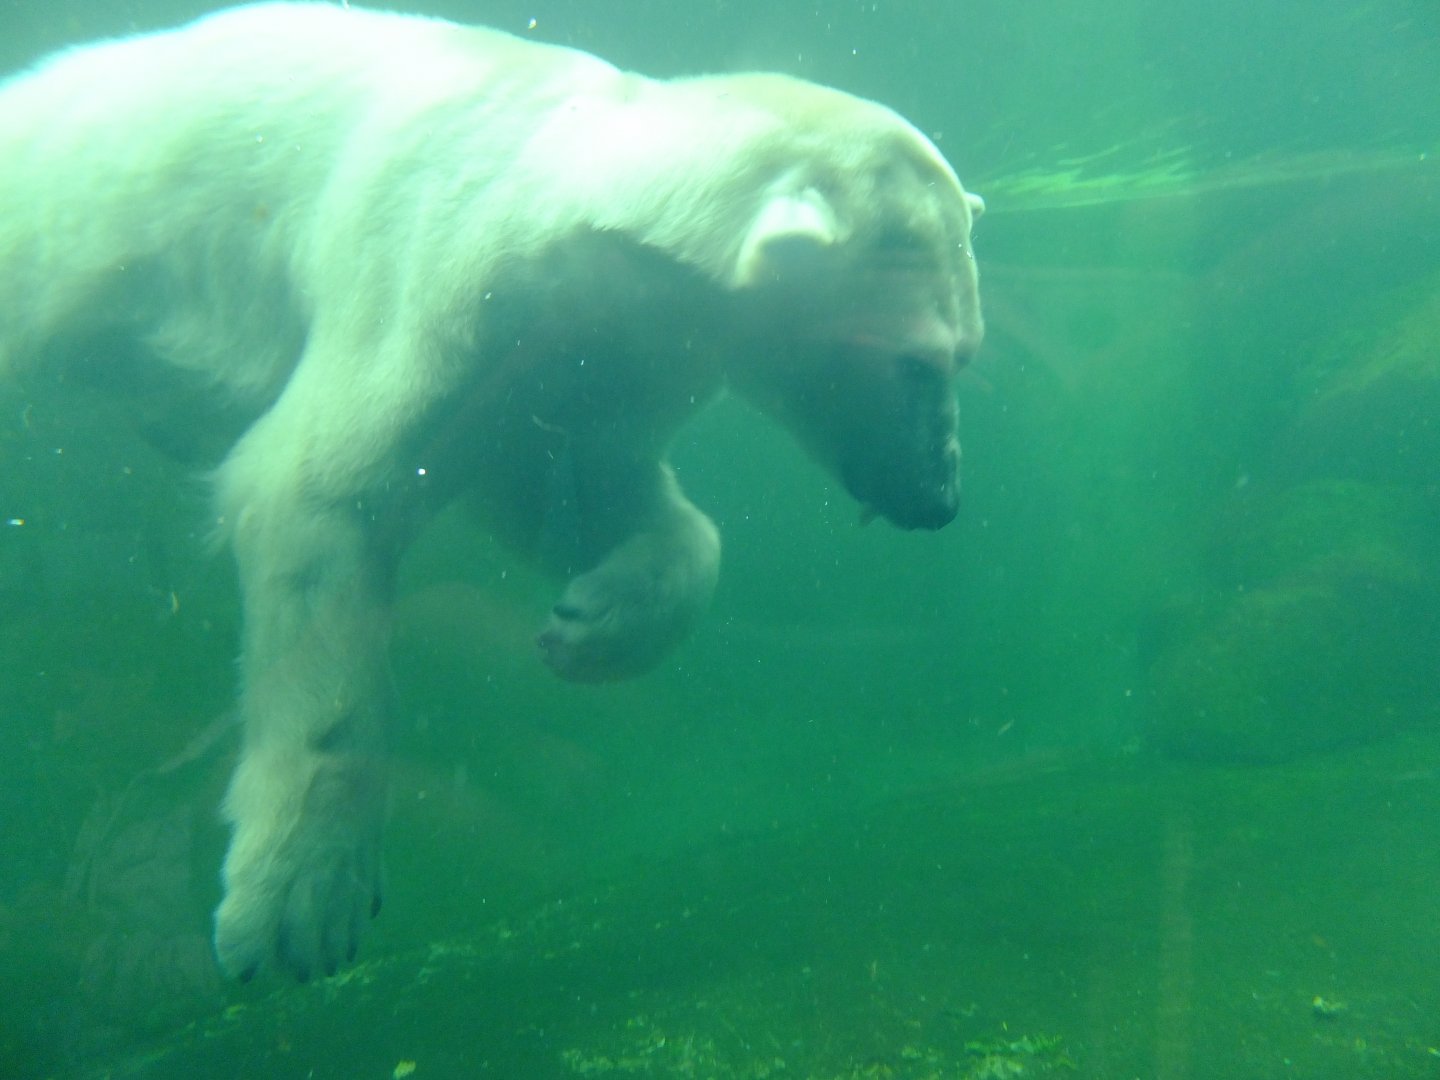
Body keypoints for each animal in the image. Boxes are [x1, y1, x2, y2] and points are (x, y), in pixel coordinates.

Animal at [0, 2, 984, 981]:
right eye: (918, 360)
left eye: (964, 356)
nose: (939, 498)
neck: (571, 191)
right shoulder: (442, 280)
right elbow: (317, 491)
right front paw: (301, 901)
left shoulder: (590, 363)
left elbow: (572, 491)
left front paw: (589, 625)